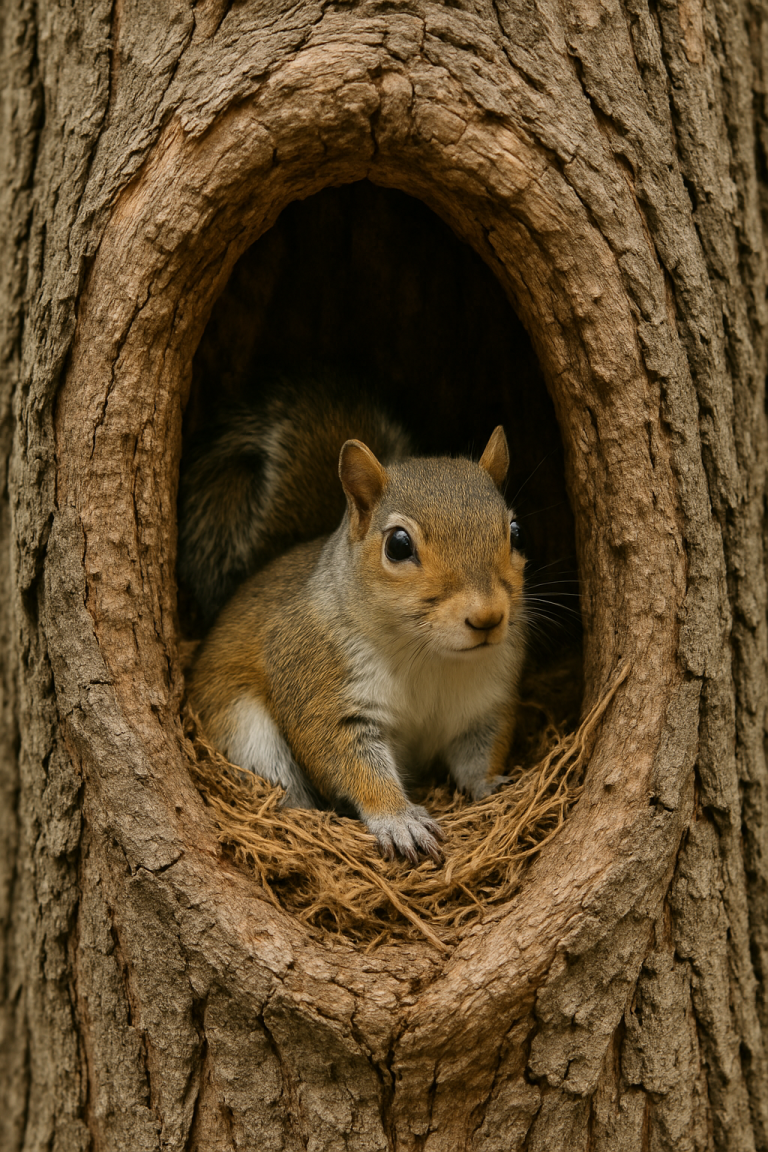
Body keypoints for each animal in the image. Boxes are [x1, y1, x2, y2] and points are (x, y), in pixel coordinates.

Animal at [181, 376, 527, 862]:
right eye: (398, 545)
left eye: (515, 532)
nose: (488, 618)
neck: (428, 654)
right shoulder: (319, 678)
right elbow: (349, 758)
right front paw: (399, 820)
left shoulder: (486, 700)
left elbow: (477, 753)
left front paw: (491, 784)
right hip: (244, 730)